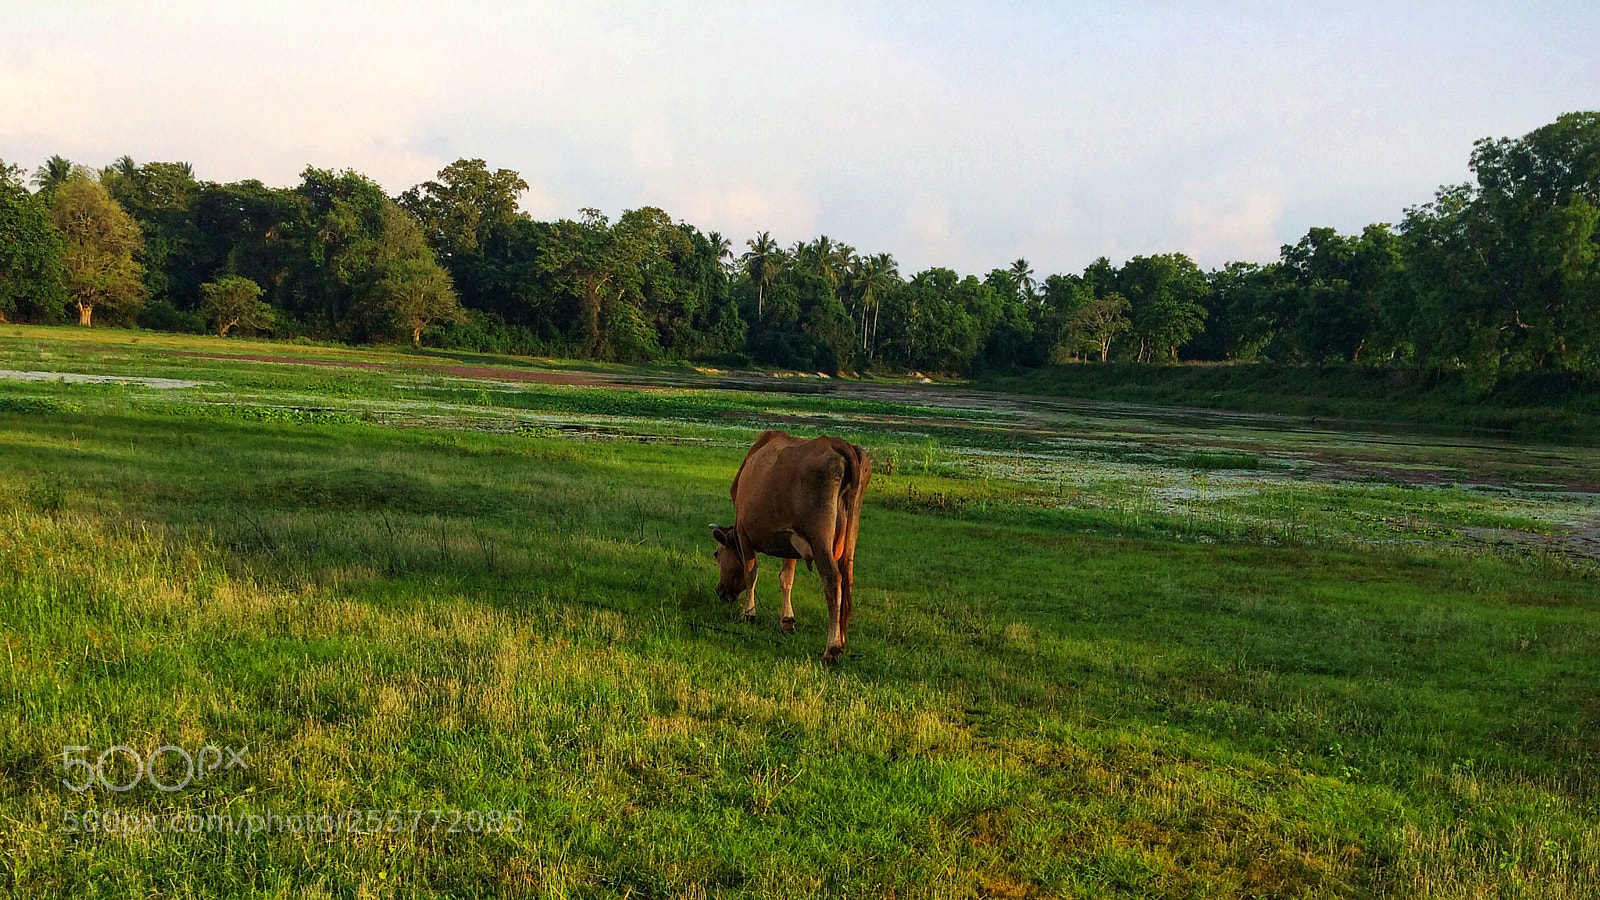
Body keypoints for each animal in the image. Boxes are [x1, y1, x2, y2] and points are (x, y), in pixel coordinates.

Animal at [710, 430, 871, 664]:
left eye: (717, 554)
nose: (720, 591)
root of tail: (838, 443)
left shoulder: (743, 532)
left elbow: (751, 573)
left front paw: (748, 613)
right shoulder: (792, 541)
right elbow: (786, 578)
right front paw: (786, 620)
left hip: (820, 536)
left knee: (833, 581)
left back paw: (831, 648)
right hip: (851, 534)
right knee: (847, 580)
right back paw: (840, 640)